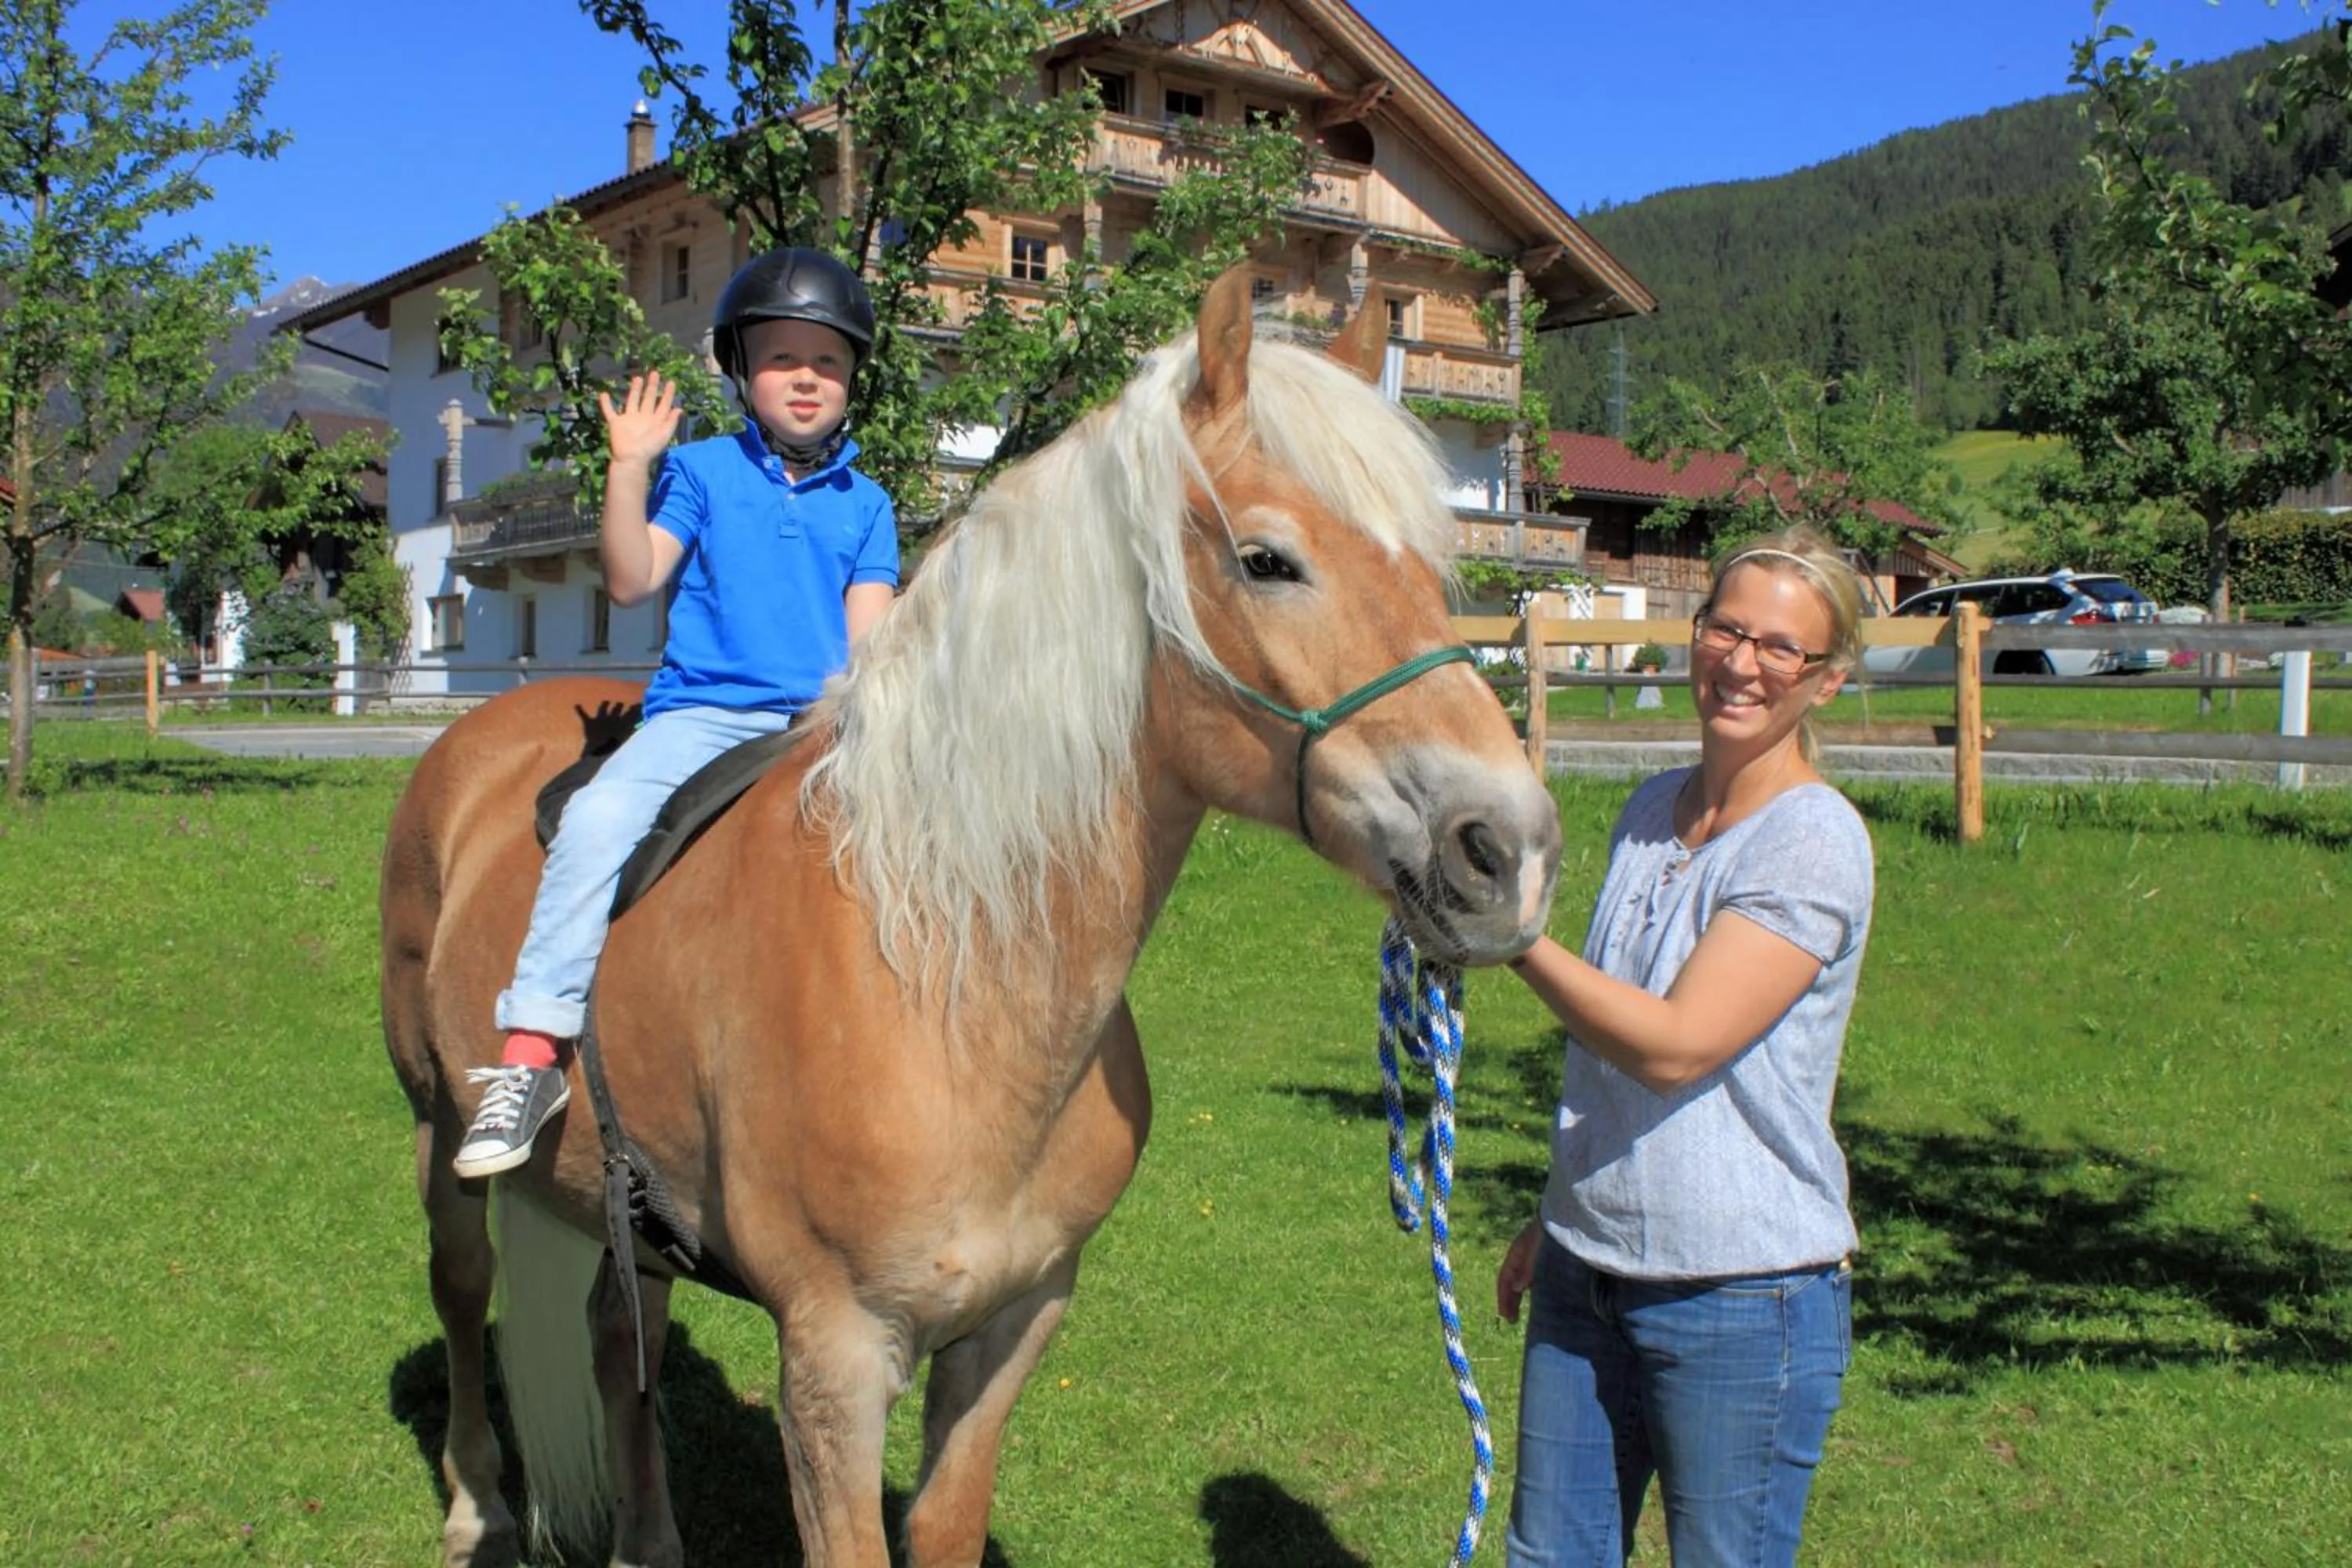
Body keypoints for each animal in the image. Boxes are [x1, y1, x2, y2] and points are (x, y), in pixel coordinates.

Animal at [380, 267, 1564, 1568]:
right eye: (1267, 560)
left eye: (1435, 565)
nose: (1507, 852)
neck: (945, 976)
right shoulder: (834, 1366)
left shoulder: (1014, 1325)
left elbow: (943, 1524)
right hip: (439, 1133)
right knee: (461, 1286)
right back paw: (478, 1501)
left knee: (614, 1337)